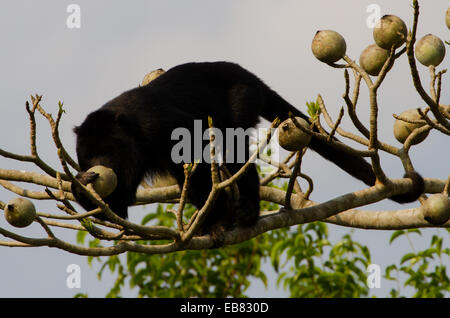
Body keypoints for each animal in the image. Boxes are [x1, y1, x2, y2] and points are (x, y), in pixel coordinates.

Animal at [71, 62, 426, 235]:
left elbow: (195, 154)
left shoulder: (156, 125)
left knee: (235, 150)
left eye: (109, 149)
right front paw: (82, 187)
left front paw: (216, 221)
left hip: (242, 98)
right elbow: (119, 206)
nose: (99, 167)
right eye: (88, 155)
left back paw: (247, 210)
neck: (130, 130)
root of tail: (246, 74)